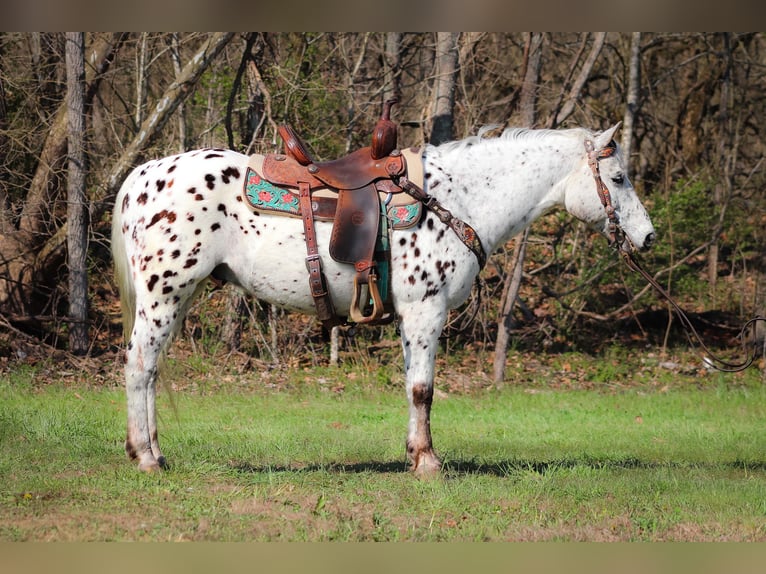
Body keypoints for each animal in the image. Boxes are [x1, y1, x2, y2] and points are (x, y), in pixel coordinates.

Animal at [111, 121, 656, 476]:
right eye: (619, 178)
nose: (648, 237)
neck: (456, 200)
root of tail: (143, 176)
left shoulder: (411, 318)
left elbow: (413, 387)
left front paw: (415, 454)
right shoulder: (425, 311)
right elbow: (423, 390)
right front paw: (429, 462)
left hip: (176, 298)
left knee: (152, 370)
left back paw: (155, 451)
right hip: (164, 294)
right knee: (139, 365)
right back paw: (145, 458)